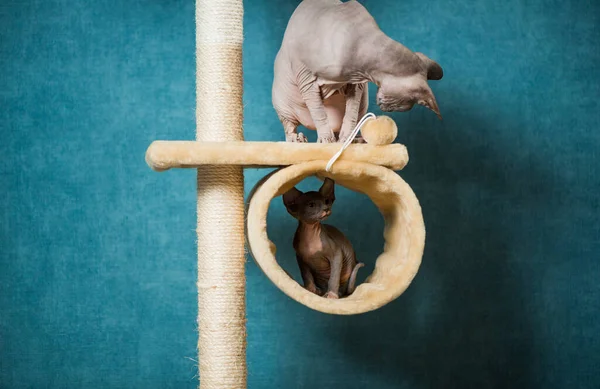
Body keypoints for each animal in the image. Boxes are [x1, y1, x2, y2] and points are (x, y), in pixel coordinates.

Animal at [274, 0, 442, 142]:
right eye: (405, 105)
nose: (384, 108)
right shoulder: (307, 80)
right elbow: (319, 113)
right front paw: (325, 140)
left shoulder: (356, 83)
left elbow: (351, 114)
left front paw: (346, 138)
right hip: (282, 104)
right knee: (290, 126)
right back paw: (297, 139)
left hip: (363, 104)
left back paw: (353, 140)